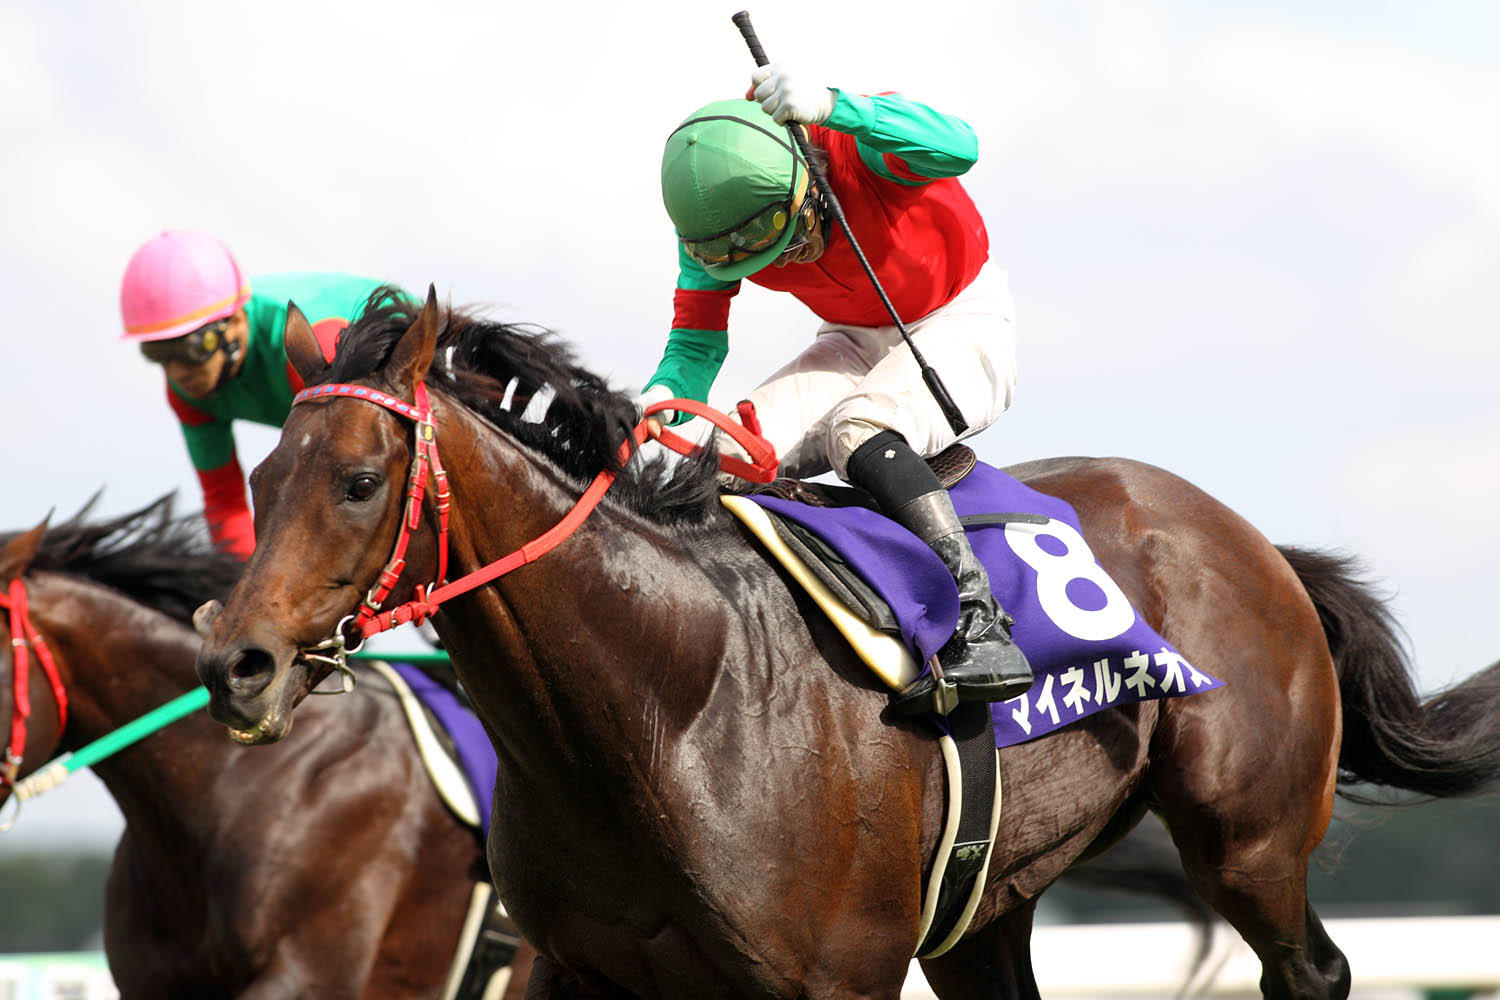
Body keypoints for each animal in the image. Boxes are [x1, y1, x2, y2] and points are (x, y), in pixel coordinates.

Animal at [194, 289, 1500, 999]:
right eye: (259, 479)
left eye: (360, 482)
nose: (236, 665)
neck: (661, 701)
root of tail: (1254, 540)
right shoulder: (574, 964)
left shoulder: (833, 975)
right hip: (988, 900)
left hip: (1250, 839)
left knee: (1312, 966)